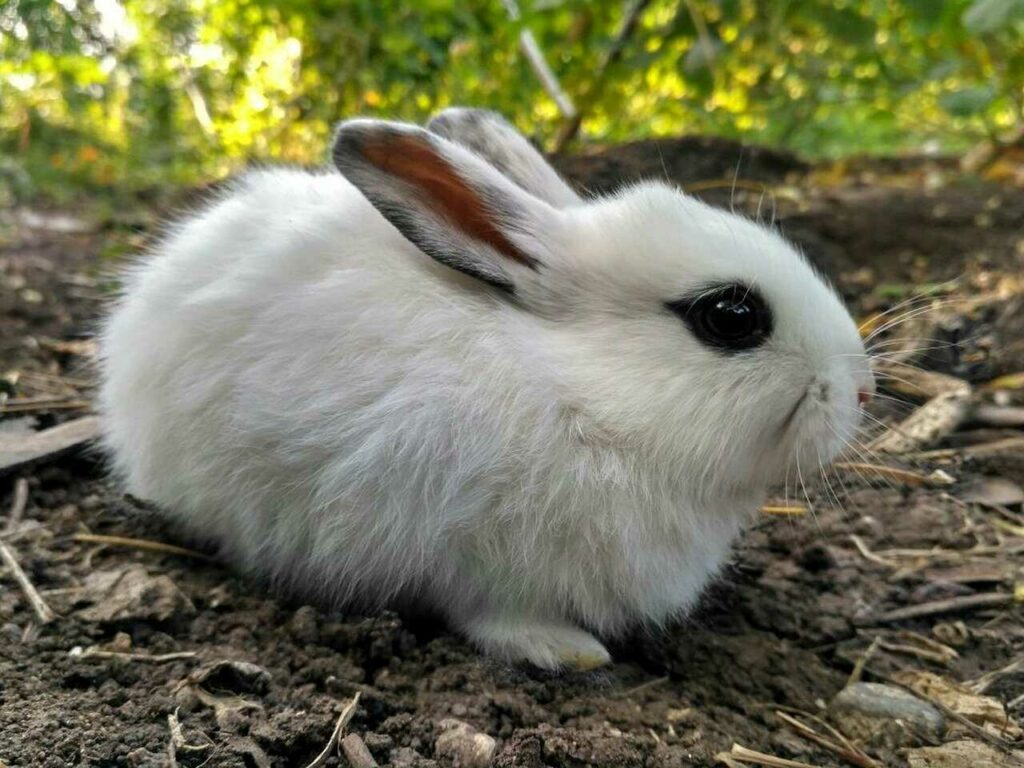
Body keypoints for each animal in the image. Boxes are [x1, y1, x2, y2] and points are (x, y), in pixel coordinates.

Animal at [99, 109, 872, 671]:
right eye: (731, 317)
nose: (861, 389)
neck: (583, 400)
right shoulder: (468, 557)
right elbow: (495, 616)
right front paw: (569, 652)